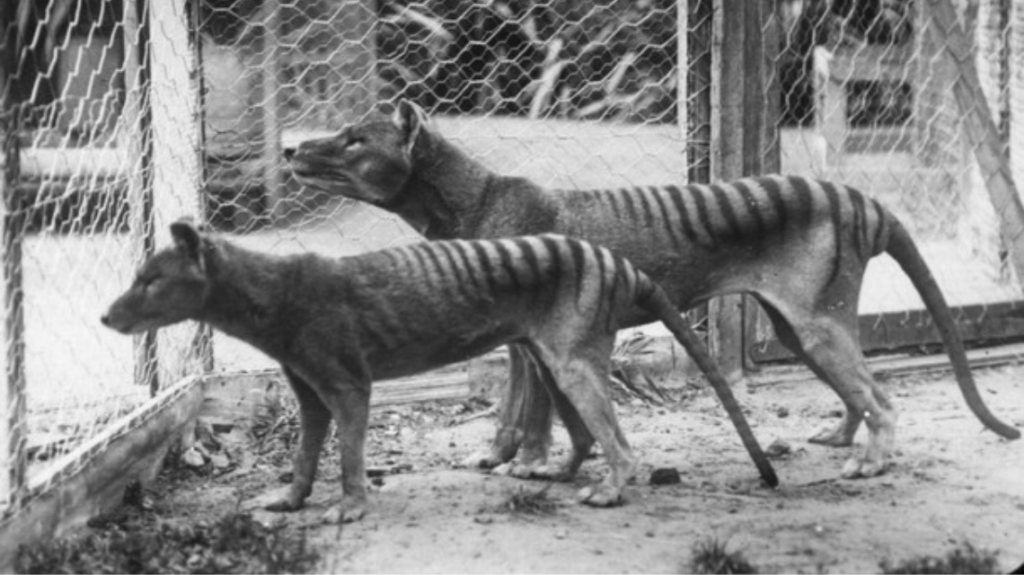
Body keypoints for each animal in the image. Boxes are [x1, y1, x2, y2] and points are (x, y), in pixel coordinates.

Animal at [101, 221, 776, 523]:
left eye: (151, 280)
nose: (106, 315)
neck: (274, 293)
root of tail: (616, 261)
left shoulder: (348, 383)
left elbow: (348, 455)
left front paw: (350, 506)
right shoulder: (309, 391)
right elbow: (304, 454)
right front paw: (291, 499)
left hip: (572, 361)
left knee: (619, 441)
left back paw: (611, 489)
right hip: (551, 359)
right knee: (585, 433)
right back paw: (556, 472)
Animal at [286, 99, 1020, 481]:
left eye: (355, 139)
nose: (292, 148)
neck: (474, 198)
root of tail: (862, 199)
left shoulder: (530, 338)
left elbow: (531, 410)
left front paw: (526, 463)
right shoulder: (520, 339)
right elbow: (512, 409)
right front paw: (497, 454)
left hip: (815, 323)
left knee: (881, 397)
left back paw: (872, 460)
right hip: (795, 326)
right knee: (858, 390)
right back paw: (846, 439)